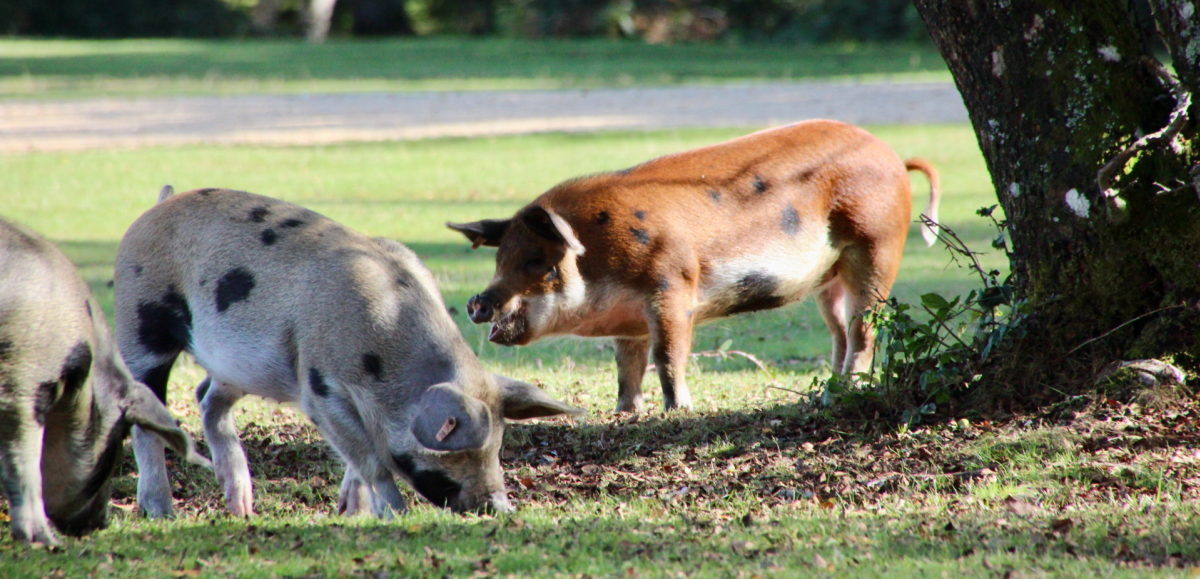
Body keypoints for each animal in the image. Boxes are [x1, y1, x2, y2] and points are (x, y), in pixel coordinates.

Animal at [114, 187, 582, 519]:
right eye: (458, 448)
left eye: (499, 444)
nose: (500, 507)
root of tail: (161, 202)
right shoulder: (320, 388)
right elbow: (371, 459)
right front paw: (396, 516)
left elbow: (359, 461)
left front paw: (351, 514)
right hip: (140, 320)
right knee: (145, 415)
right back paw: (161, 514)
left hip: (242, 366)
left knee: (207, 398)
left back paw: (242, 509)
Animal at [448, 120, 941, 412]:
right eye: (499, 259)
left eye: (536, 261)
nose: (476, 302)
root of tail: (894, 158)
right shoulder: (628, 319)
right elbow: (626, 364)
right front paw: (624, 412)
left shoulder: (672, 287)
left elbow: (667, 355)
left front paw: (677, 410)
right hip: (829, 277)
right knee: (839, 331)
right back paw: (829, 389)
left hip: (877, 245)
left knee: (864, 328)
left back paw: (849, 386)